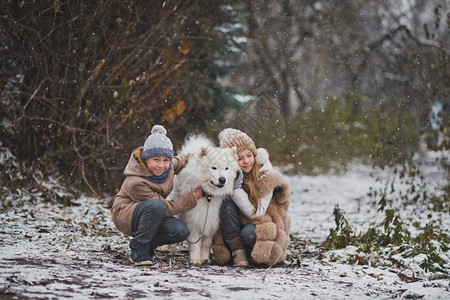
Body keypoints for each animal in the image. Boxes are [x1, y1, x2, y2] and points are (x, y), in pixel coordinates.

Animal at [168, 135, 239, 264]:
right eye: (214, 168)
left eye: (226, 168)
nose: (222, 179)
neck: (208, 195)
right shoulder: (193, 219)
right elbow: (195, 243)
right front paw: (196, 259)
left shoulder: (211, 219)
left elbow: (206, 243)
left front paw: (205, 258)